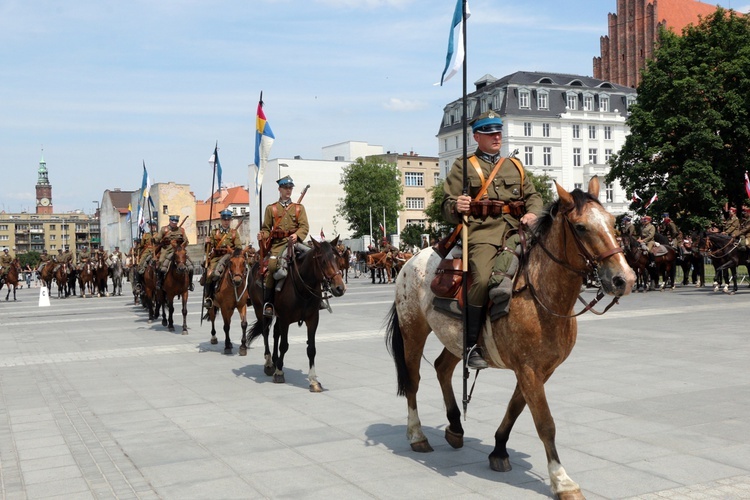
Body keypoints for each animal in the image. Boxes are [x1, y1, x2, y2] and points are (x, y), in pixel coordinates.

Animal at [250, 236, 350, 392]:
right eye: (323, 261)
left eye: (338, 258)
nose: (339, 288)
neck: (302, 287)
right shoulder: (285, 320)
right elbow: (284, 345)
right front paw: (279, 373)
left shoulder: (312, 319)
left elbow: (311, 349)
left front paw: (314, 381)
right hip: (260, 309)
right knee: (266, 332)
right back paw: (269, 363)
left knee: (275, 333)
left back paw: (276, 360)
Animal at [384, 178, 636, 498]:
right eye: (580, 227)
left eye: (613, 223)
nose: (624, 279)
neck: (540, 291)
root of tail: (410, 260)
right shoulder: (528, 369)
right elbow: (545, 423)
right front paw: (561, 480)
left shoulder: (540, 370)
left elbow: (516, 408)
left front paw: (499, 450)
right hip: (413, 330)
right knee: (413, 381)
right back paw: (417, 435)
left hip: (457, 338)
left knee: (442, 368)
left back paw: (455, 427)